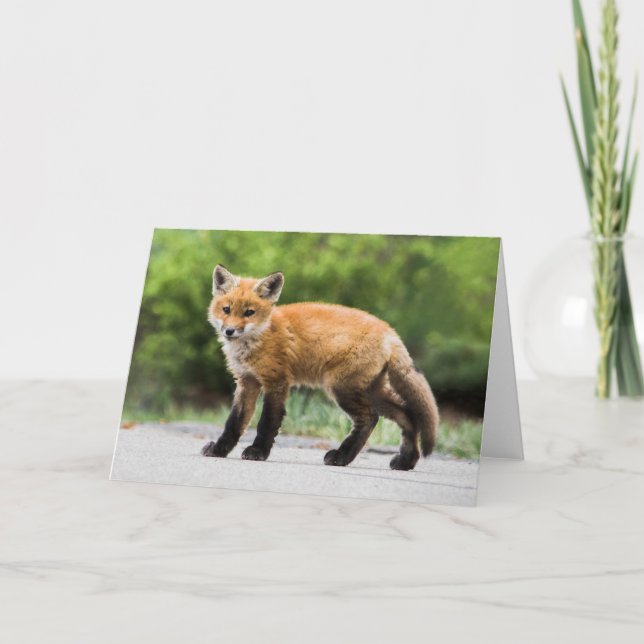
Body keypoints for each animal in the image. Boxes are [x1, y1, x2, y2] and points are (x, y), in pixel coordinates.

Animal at [201, 265, 439, 471]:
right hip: (372, 391)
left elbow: (267, 422)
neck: (259, 337)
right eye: (226, 309)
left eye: (249, 313)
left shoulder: (276, 382)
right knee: (407, 415)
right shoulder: (247, 382)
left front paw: (258, 452)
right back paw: (405, 461)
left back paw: (341, 457)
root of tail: (389, 331)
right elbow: (234, 423)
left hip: (342, 388)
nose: (229, 331)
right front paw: (219, 450)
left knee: (370, 418)